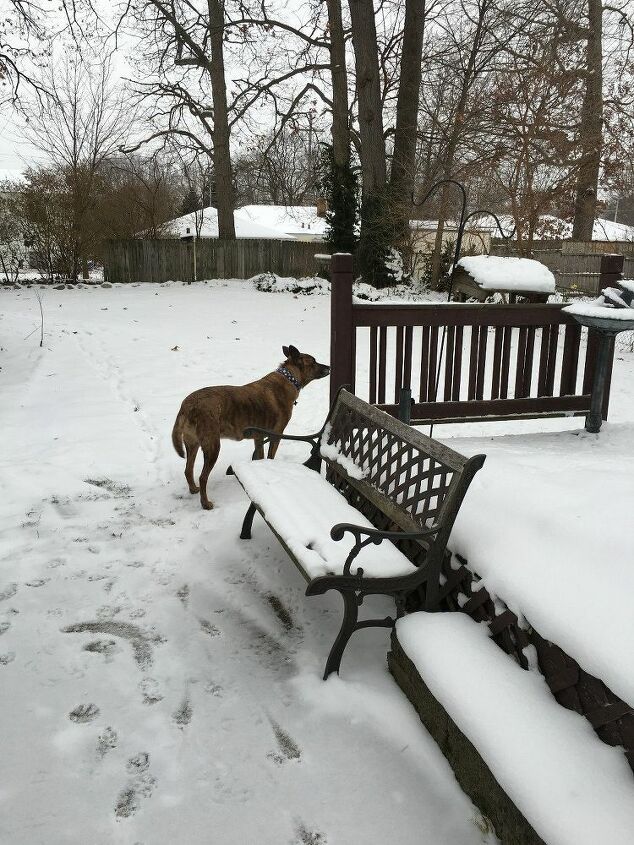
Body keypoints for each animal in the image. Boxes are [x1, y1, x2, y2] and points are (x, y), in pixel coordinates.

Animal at [170, 342, 328, 508]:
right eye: (314, 361)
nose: (329, 367)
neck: (289, 378)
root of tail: (188, 405)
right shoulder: (276, 435)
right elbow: (270, 456)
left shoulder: (258, 437)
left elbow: (260, 457)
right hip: (212, 445)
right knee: (202, 477)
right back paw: (205, 503)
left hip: (192, 443)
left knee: (188, 470)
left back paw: (193, 489)